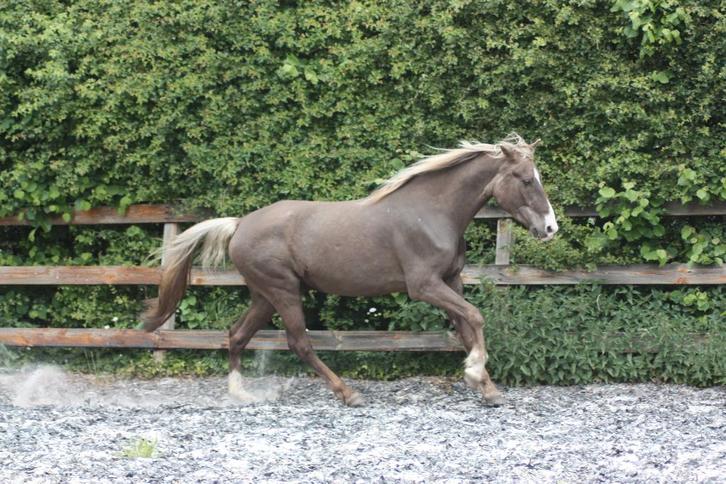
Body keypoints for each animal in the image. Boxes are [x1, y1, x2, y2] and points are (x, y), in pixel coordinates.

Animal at [141, 134, 558, 406]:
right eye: (525, 180)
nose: (551, 228)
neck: (432, 212)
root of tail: (240, 224)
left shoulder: (451, 281)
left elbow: (467, 327)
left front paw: (486, 388)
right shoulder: (424, 285)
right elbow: (476, 317)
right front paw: (475, 374)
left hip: (265, 295)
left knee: (237, 334)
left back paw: (240, 393)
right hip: (283, 291)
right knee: (299, 342)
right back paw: (348, 393)